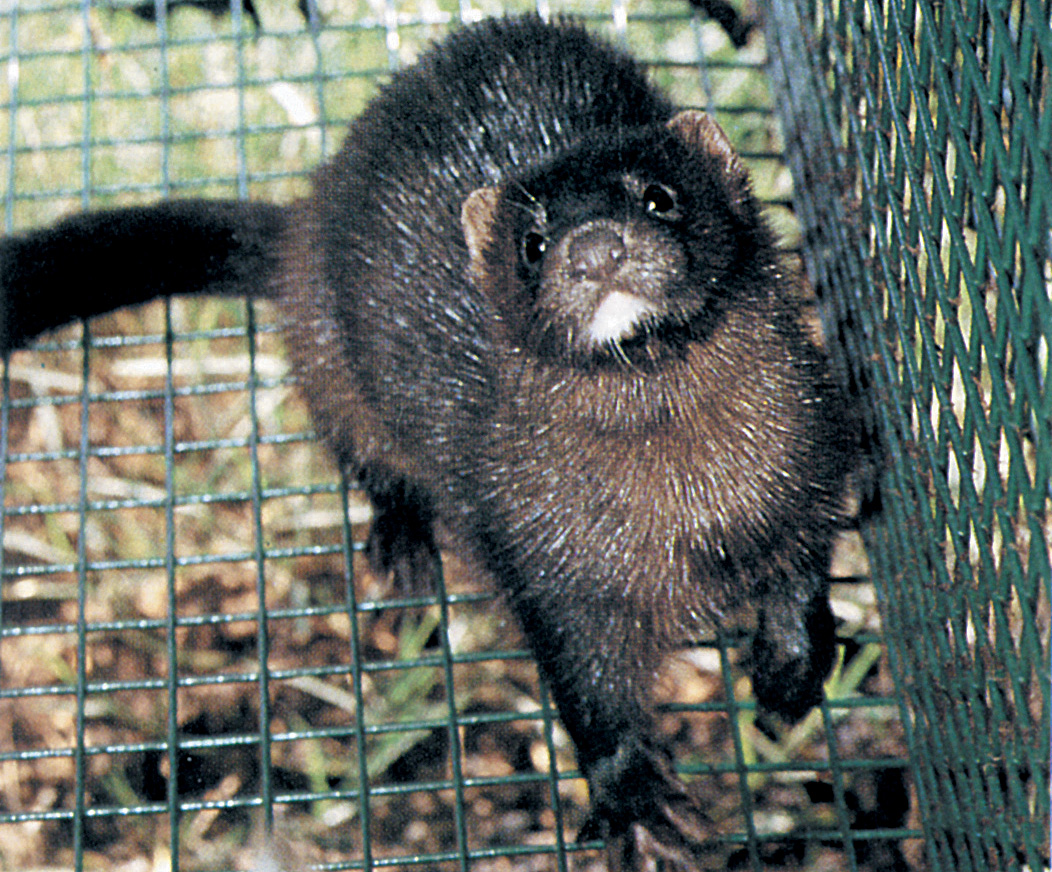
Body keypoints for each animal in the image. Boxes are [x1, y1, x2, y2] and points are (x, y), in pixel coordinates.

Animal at [0, 15, 855, 869]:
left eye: (659, 195)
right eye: (532, 243)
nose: (593, 249)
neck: (696, 510)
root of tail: (308, 218)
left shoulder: (810, 455)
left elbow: (804, 573)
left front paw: (790, 671)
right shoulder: (542, 557)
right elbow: (587, 691)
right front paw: (639, 806)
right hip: (327, 344)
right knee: (359, 443)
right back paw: (404, 540)